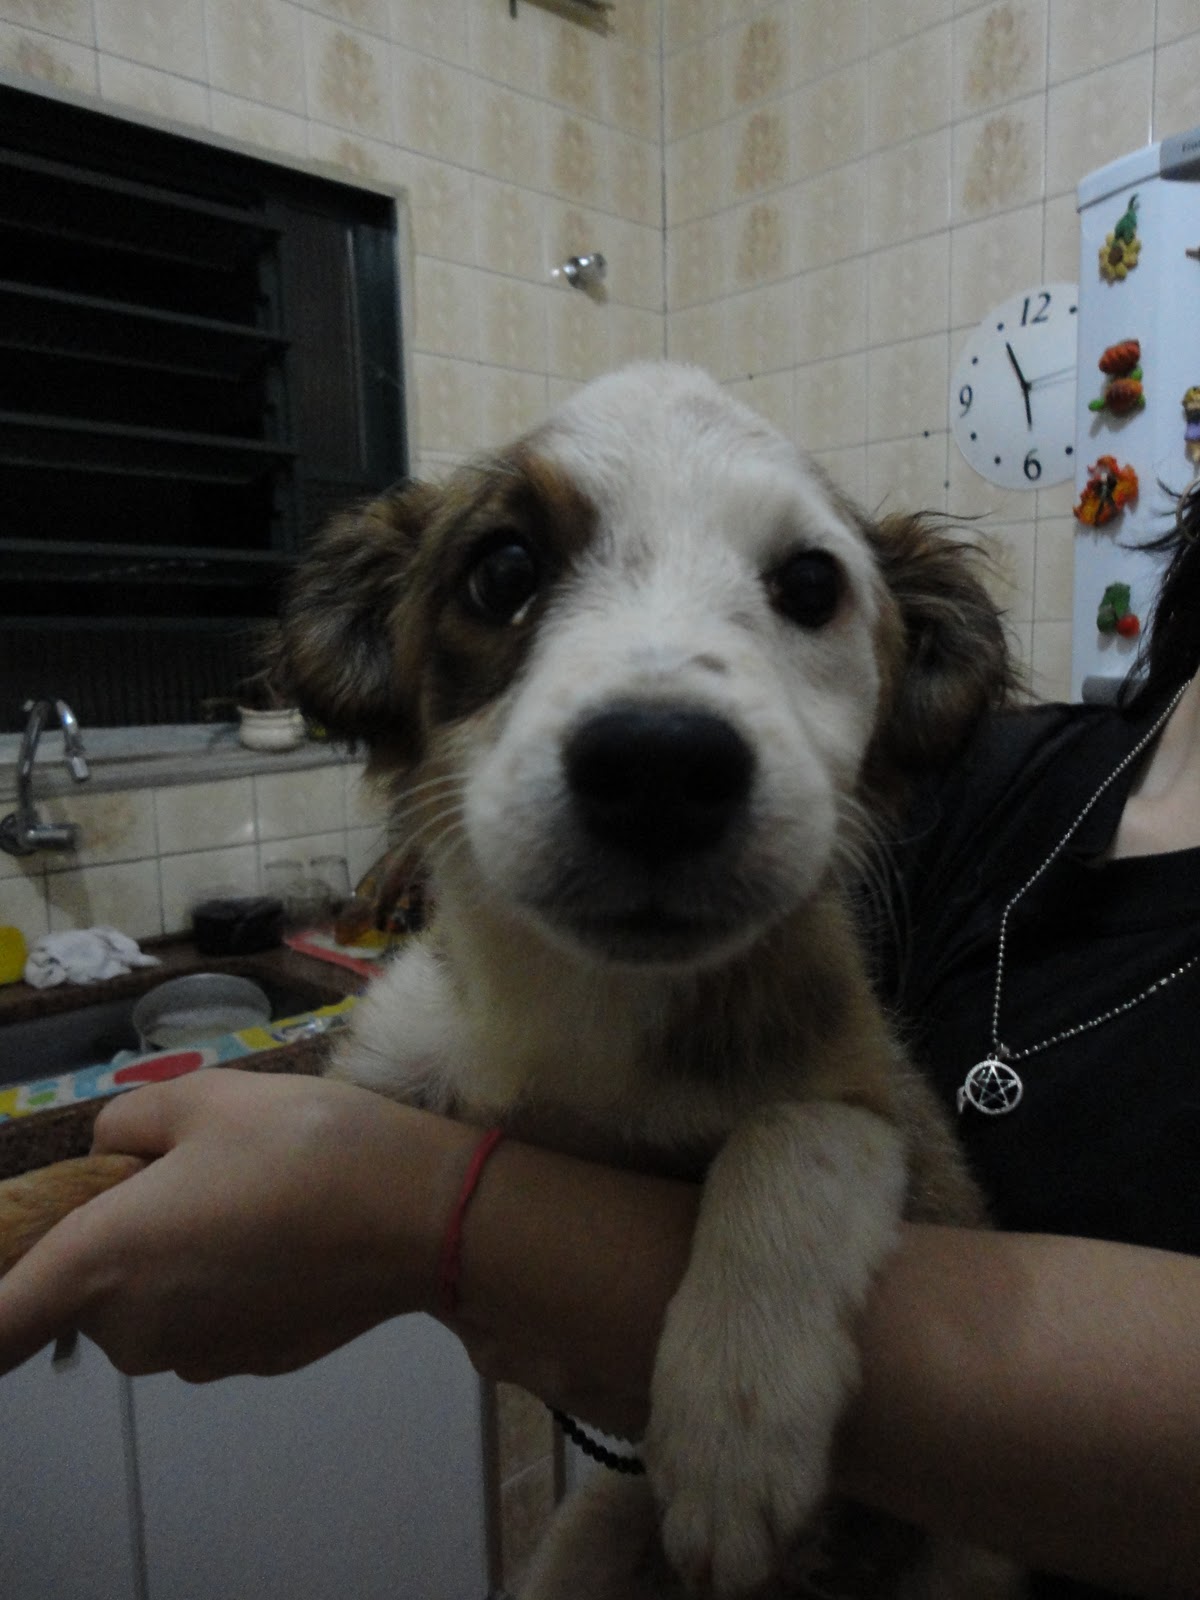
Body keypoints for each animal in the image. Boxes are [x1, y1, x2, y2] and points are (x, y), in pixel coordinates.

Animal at [280, 362, 1019, 1599]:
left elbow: (800, 1132)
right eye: (504, 570)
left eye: (810, 583)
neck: (587, 1012)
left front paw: (735, 1420)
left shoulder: (920, 1149)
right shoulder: (395, 1062)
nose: (660, 768)